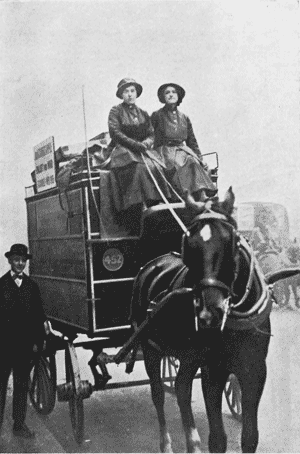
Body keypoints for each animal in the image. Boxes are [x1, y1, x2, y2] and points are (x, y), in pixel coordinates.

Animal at [129, 186, 300, 452]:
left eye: (232, 242)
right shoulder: (212, 369)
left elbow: (250, 436)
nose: (210, 313)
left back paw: (192, 442)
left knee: (181, 389)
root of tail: (152, 264)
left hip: (186, 356)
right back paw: (167, 443)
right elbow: (218, 438)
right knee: (158, 392)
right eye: (189, 244)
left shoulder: (255, 370)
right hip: (150, 347)